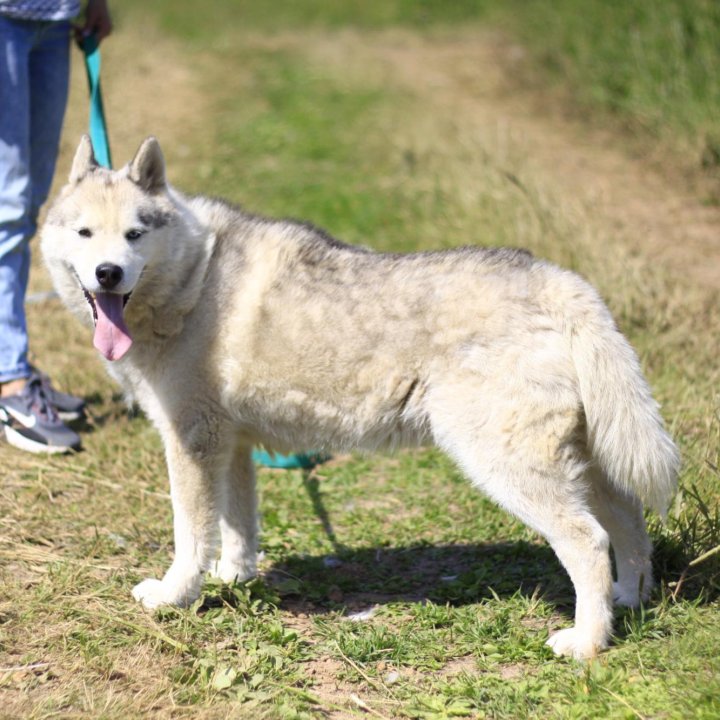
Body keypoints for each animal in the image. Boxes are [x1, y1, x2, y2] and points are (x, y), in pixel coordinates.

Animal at [40, 135, 680, 660]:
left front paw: (175, 595)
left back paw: (587, 643)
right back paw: (629, 600)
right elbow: (238, 527)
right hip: (583, 460)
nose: (107, 273)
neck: (193, 280)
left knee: (589, 541)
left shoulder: (192, 442)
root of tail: (558, 281)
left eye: (135, 234)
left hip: (510, 466)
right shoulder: (234, 446)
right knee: (628, 519)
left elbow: (189, 534)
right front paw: (235, 578)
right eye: (84, 233)